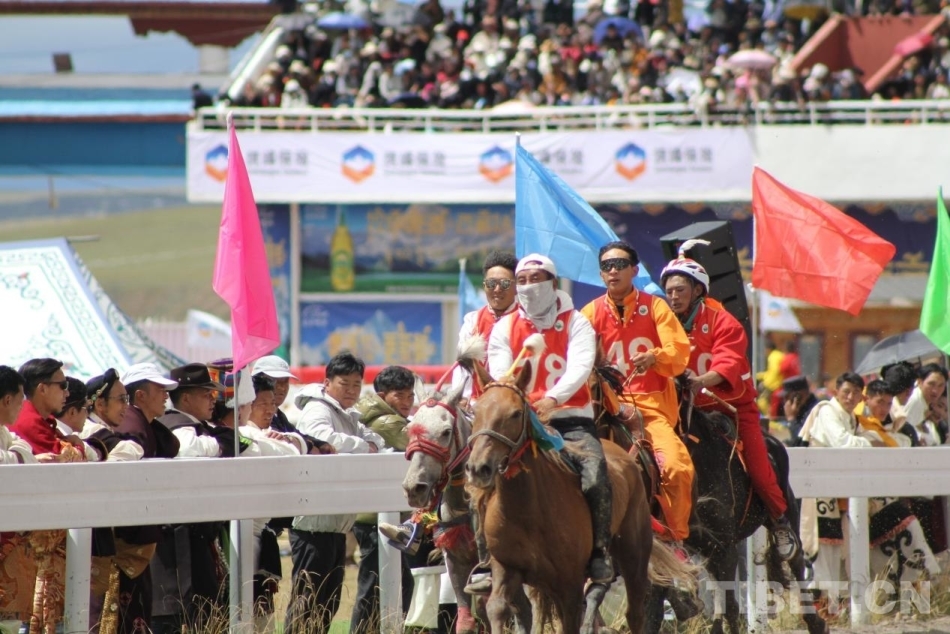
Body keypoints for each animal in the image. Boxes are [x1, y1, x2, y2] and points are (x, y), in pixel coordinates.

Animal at [462, 353, 697, 634]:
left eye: (516, 413)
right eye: (475, 411)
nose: (479, 467)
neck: (529, 510)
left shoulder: (569, 588)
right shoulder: (507, 569)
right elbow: (499, 607)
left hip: (634, 557)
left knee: (635, 612)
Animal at [590, 369, 827, 634]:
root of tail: (774, 442)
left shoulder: (723, 546)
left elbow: (730, 605)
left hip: (786, 508)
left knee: (795, 559)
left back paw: (815, 620)